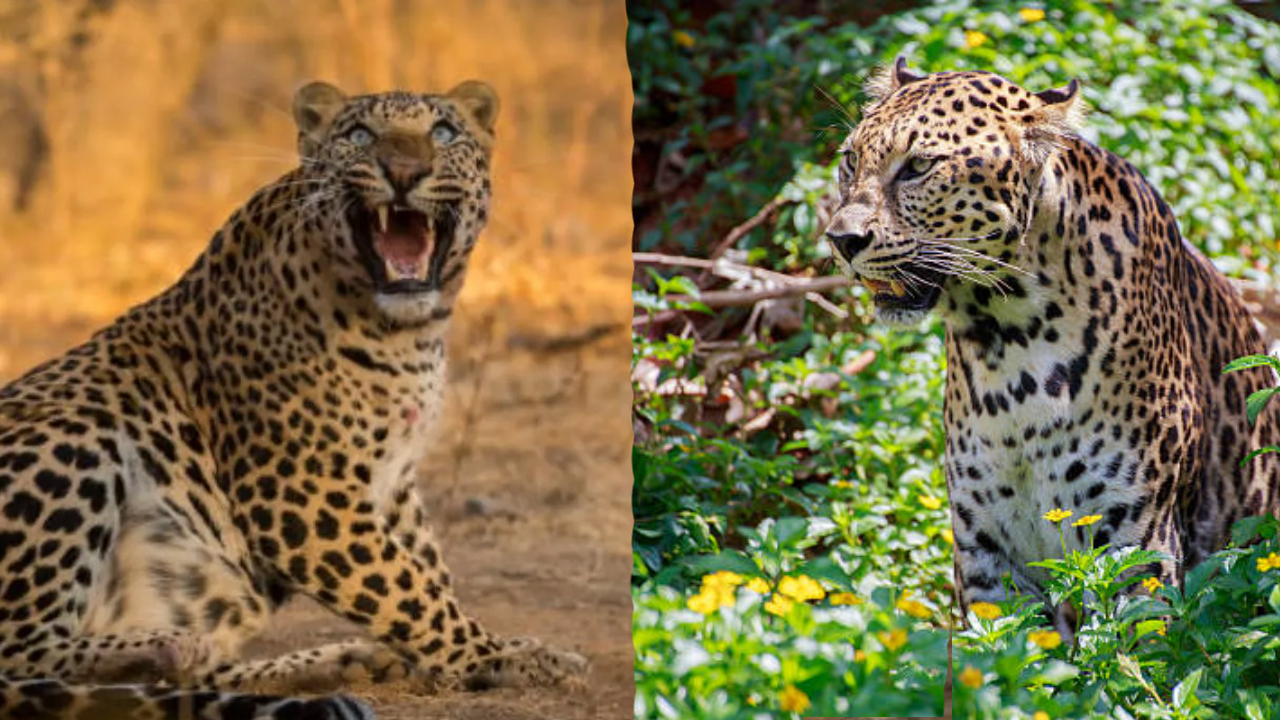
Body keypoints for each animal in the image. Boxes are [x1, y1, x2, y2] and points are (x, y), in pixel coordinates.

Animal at [0, 79, 586, 720]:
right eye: (360, 135)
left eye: (443, 132)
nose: (405, 169)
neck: (406, 331)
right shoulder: (298, 491)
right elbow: (403, 586)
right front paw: (497, 658)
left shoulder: (394, 481)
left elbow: (425, 571)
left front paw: (491, 650)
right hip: (76, 432)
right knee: (22, 656)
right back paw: (162, 649)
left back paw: (333, 662)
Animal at [823, 57, 1279, 635]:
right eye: (849, 161)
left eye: (918, 166)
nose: (840, 240)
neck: (1009, 345)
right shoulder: (988, 554)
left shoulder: (1137, 541)